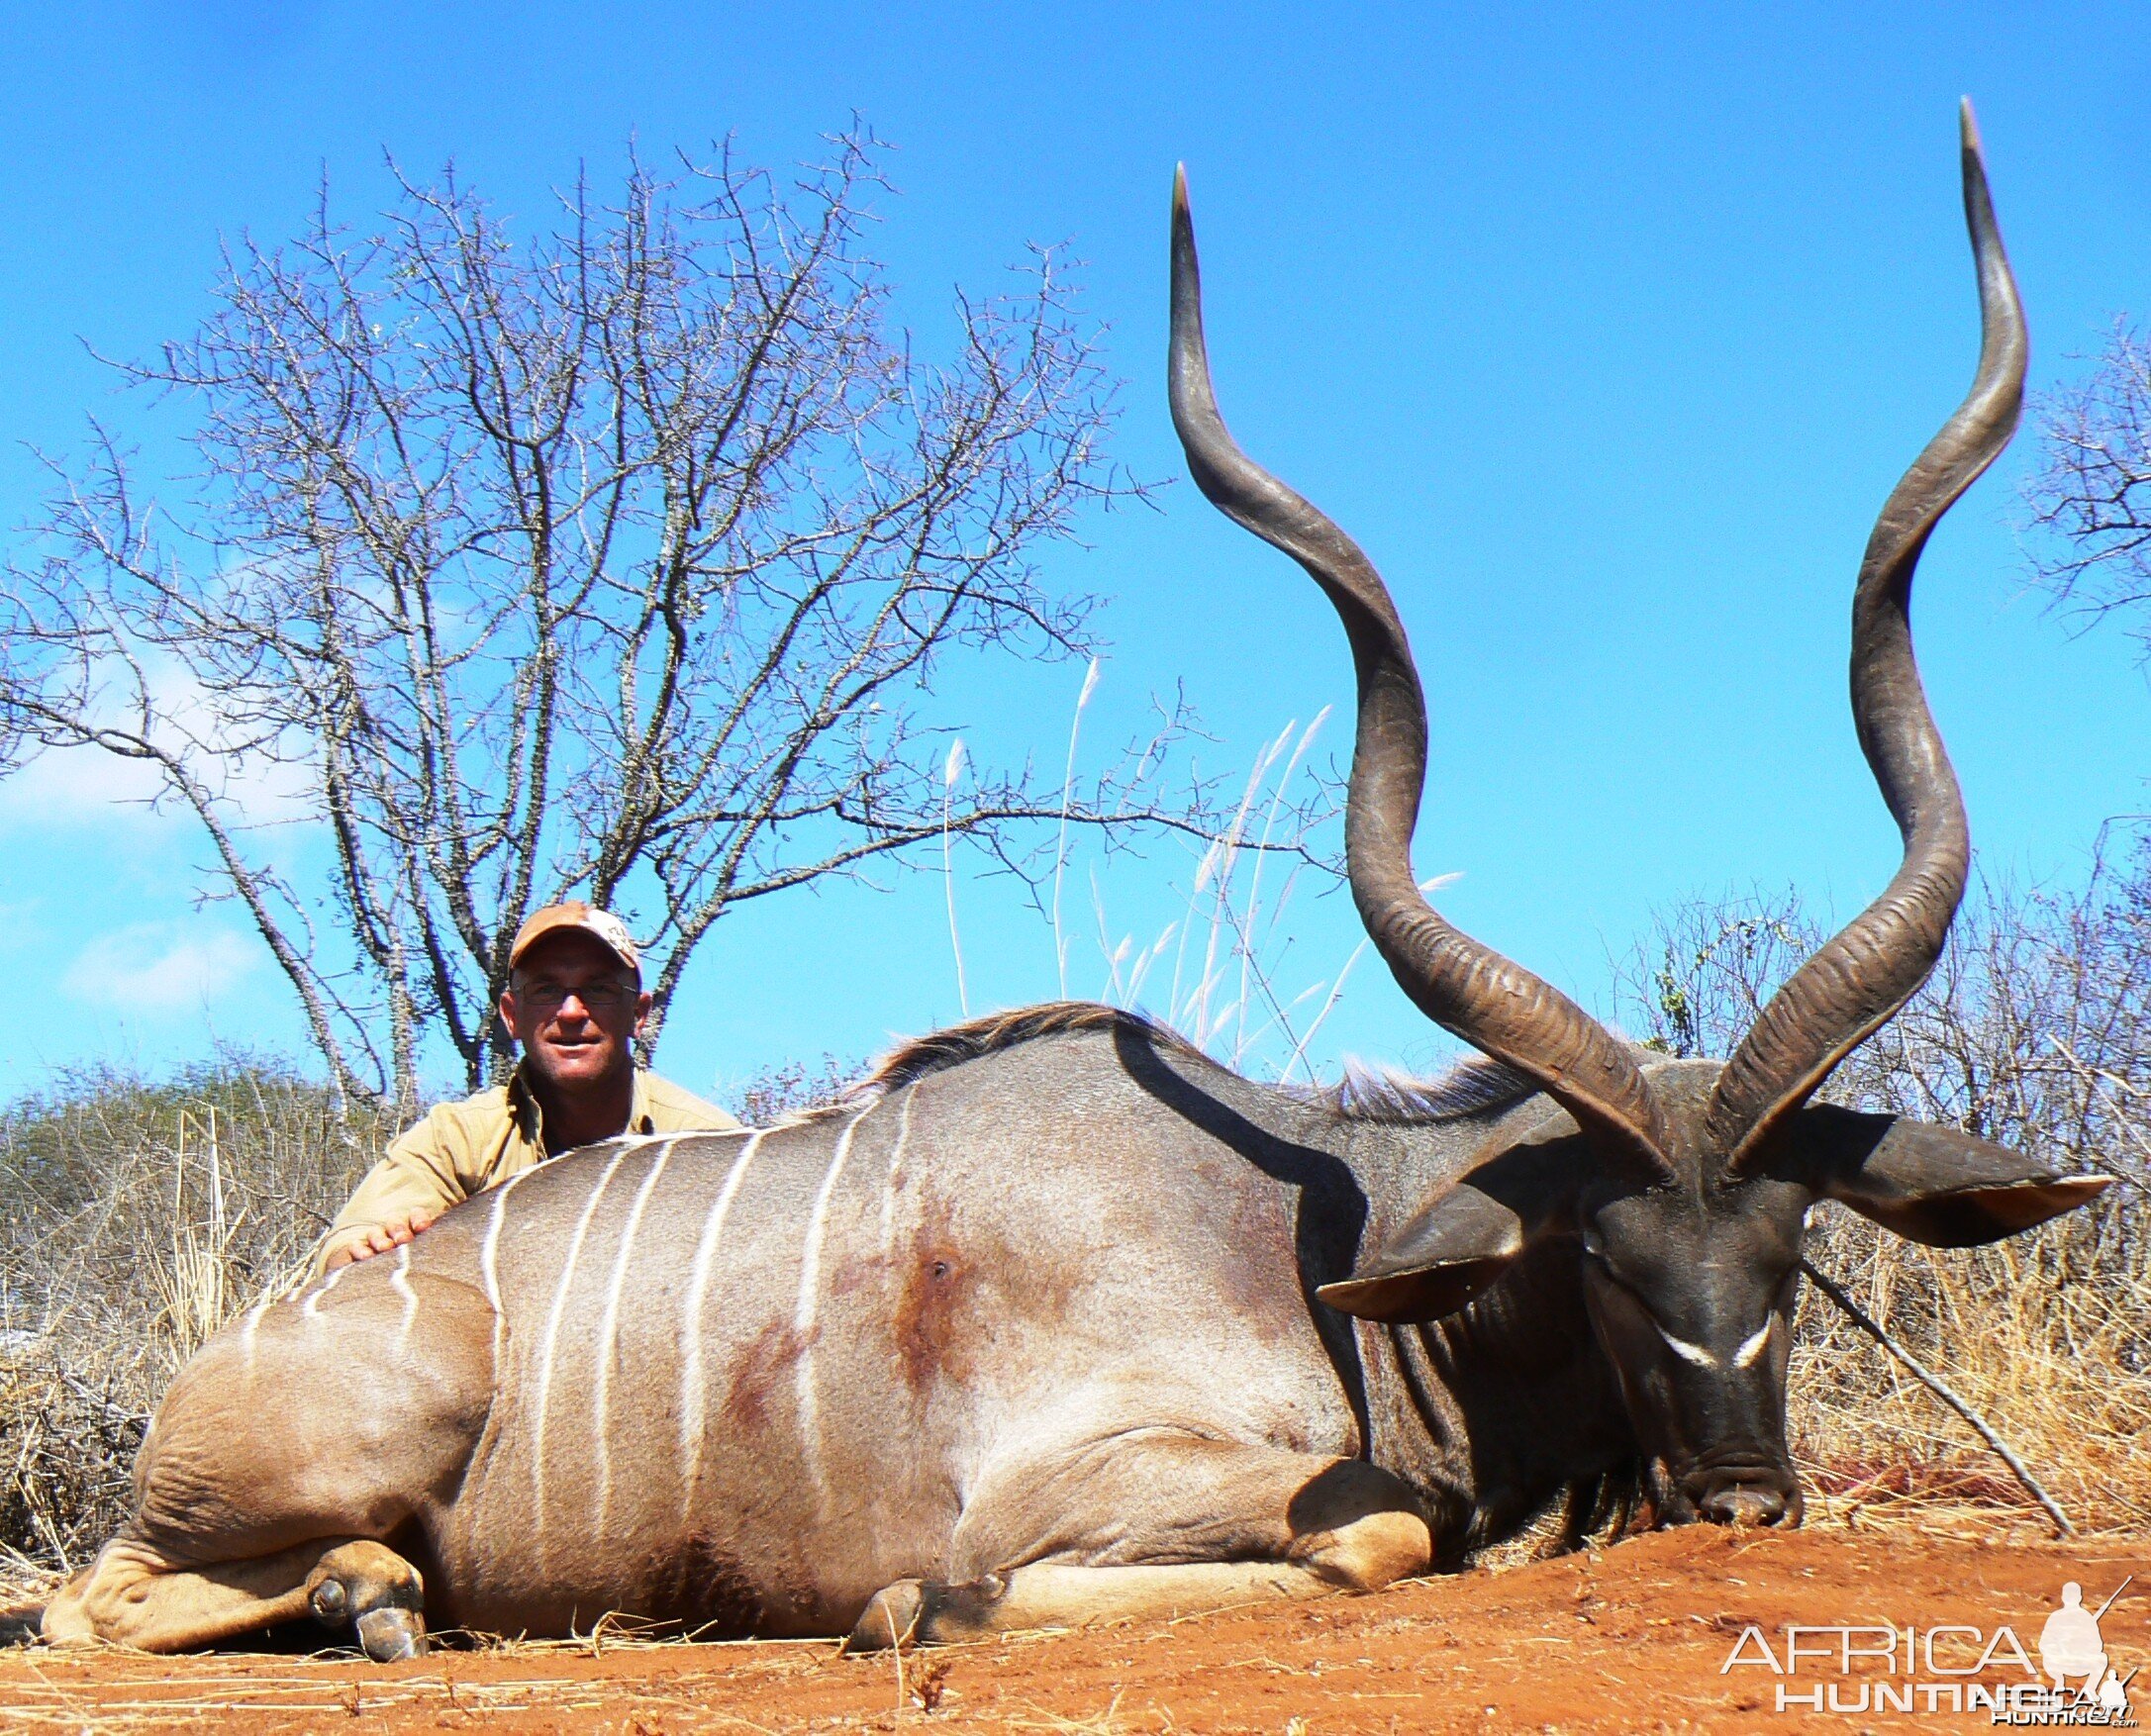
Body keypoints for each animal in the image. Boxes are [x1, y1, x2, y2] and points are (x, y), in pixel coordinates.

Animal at [42, 108, 2107, 1660]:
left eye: (1789, 1240)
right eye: (1596, 1254)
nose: (1742, 1496)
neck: (1333, 1240)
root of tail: (246, 1343)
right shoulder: (1096, 1479)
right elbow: (1352, 1540)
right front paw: (909, 1607)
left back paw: (389, 1596)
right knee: (83, 1602)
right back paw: (377, 1600)